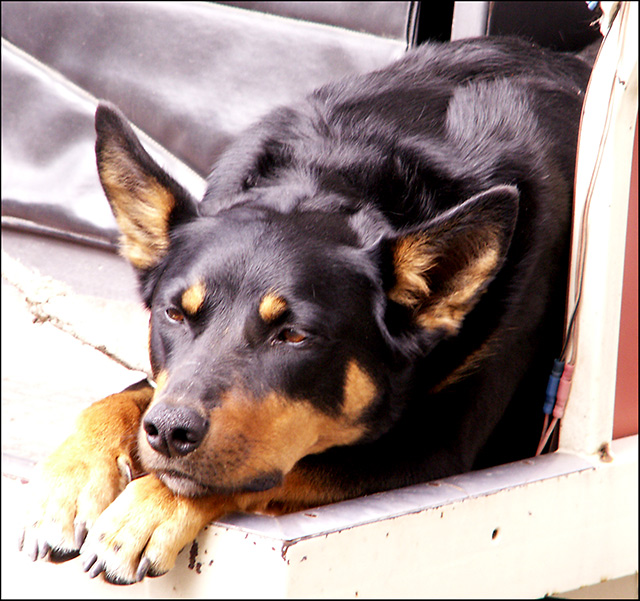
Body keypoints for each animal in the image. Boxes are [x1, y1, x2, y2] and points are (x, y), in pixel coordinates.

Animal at [20, 36, 592, 580]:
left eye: (294, 336)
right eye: (175, 315)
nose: (171, 432)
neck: (339, 177)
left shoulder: (433, 449)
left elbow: (248, 474)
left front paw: (147, 511)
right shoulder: (167, 384)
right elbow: (117, 401)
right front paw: (69, 483)